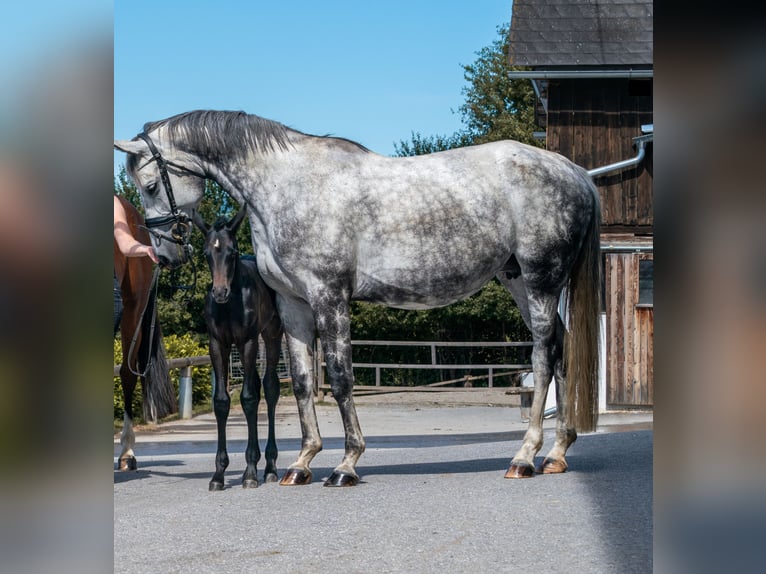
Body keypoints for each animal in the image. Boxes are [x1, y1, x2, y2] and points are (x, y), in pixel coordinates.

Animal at [195, 207, 284, 490]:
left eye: (232, 252)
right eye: (206, 253)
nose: (219, 292)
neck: (230, 304)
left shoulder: (247, 341)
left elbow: (248, 398)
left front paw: (250, 472)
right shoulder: (217, 344)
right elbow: (222, 401)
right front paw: (218, 474)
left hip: (271, 335)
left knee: (269, 388)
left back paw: (269, 466)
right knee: (255, 385)